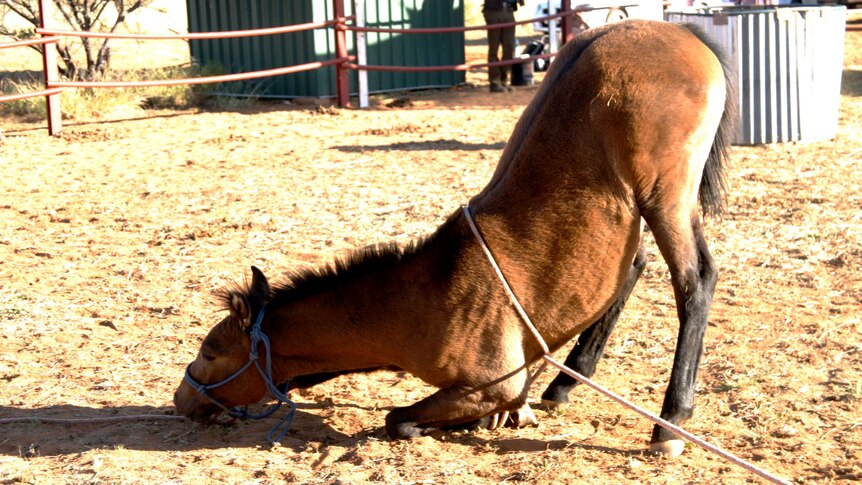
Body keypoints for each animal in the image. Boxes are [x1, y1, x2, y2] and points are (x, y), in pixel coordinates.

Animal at [174, 19, 736, 458]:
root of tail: (680, 33)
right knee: (632, 269)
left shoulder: (484, 385)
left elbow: (398, 419)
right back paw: (563, 384)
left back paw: (670, 421)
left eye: (211, 351)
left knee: (695, 280)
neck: (423, 296)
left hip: (665, 196)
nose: (182, 398)